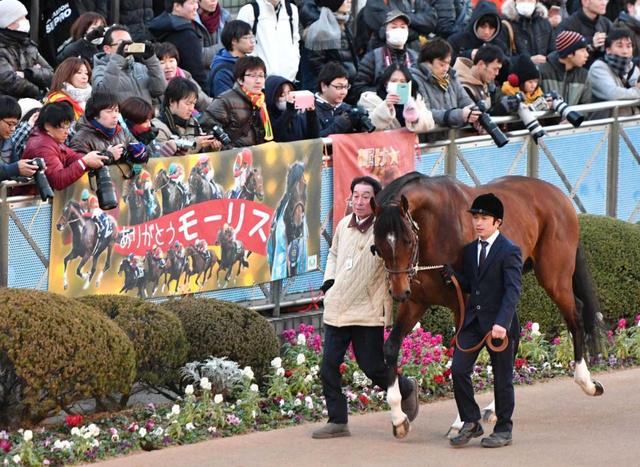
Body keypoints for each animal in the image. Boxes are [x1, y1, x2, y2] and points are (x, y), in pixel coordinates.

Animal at [372, 172, 604, 438]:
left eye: (408, 240)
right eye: (378, 245)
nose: (399, 292)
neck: (438, 225)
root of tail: (561, 197)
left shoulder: (463, 304)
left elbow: (461, 355)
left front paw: (461, 421)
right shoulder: (416, 302)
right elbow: (391, 347)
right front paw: (399, 418)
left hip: (554, 278)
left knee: (575, 315)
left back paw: (586, 381)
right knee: (510, 340)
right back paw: (494, 408)